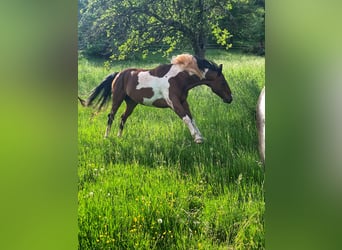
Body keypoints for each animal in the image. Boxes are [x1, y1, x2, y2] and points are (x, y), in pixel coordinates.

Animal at [78, 53, 232, 144]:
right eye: (223, 82)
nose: (230, 98)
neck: (178, 79)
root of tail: (118, 74)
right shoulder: (174, 103)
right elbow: (186, 118)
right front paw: (197, 138)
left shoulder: (183, 101)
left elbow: (191, 118)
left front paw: (200, 136)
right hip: (117, 98)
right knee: (111, 116)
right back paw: (107, 137)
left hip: (131, 103)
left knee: (123, 117)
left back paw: (119, 137)